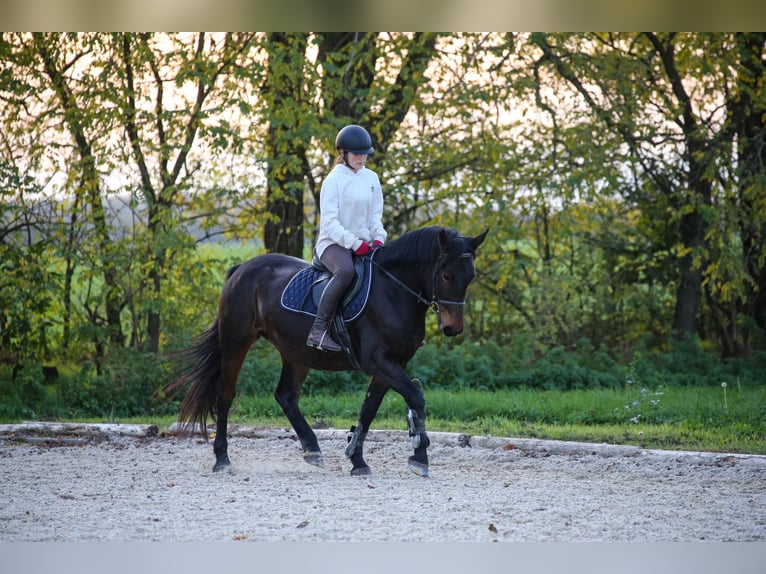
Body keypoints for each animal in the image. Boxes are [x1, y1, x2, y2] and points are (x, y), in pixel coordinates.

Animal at [170, 227, 488, 480]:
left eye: (470, 277)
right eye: (446, 275)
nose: (452, 328)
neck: (394, 291)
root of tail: (242, 268)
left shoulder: (392, 364)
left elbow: (369, 409)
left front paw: (357, 460)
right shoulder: (378, 361)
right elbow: (415, 397)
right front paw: (419, 456)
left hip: (296, 352)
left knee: (286, 396)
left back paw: (312, 450)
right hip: (236, 343)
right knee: (225, 396)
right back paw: (222, 459)